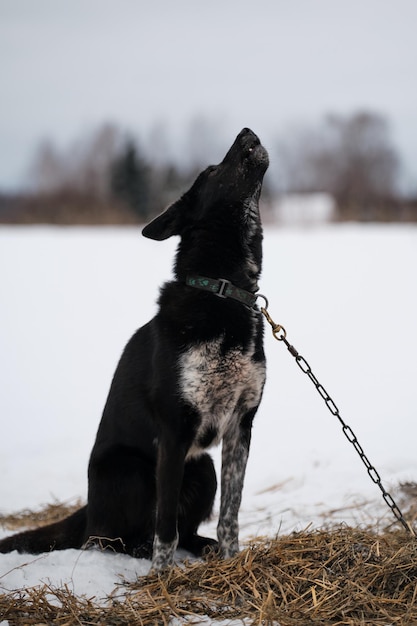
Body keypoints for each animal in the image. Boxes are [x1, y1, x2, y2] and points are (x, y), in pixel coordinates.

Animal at [0, 128, 268, 572]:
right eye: (213, 171)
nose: (247, 131)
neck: (222, 291)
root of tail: (87, 511)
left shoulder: (240, 427)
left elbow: (231, 514)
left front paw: (232, 561)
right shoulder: (174, 431)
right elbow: (165, 525)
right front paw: (162, 576)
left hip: (203, 468)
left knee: (185, 528)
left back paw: (205, 547)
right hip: (133, 471)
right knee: (113, 539)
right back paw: (140, 552)